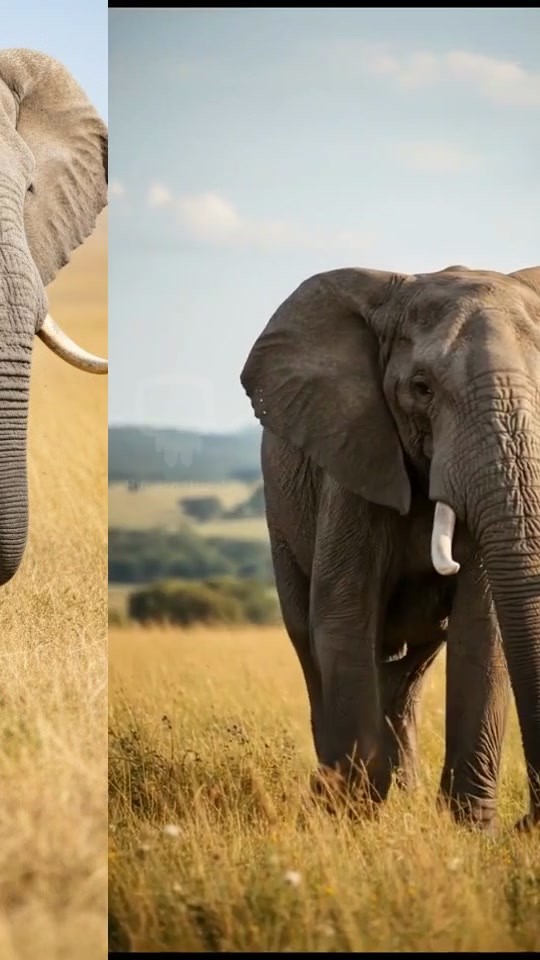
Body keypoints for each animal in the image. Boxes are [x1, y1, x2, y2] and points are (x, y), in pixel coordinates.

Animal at [240, 263, 540, 832]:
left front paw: (471, 829)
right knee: (308, 639)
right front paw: (353, 818)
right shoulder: (353, 454)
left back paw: (403, 791)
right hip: (280, 519)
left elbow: (481, 629)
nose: (526, 823)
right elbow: (342, 615)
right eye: (421, 389)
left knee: (409, 669)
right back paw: (333, 792)